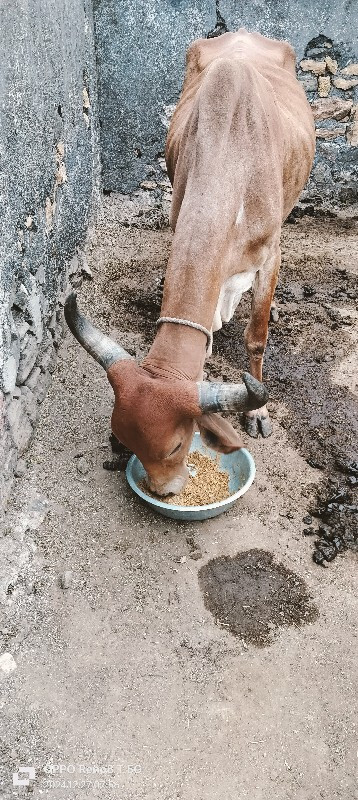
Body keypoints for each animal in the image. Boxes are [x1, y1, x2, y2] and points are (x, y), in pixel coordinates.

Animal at [64, 29, 314, 494]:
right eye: (126, 439)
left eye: (177, 446)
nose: (166, 491)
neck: (233, 156)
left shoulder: (271, 255)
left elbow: (257, 338)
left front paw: (257, 413)